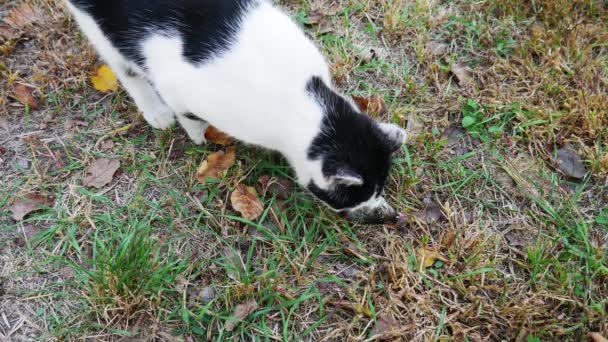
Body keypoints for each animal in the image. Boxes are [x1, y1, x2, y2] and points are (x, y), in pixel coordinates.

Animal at [65, 0, 404, 223]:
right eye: (354, 198)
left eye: (378, 192)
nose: (381, 213)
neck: (305, 97)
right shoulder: (180, 89)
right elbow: (189, 117)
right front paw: (198, 137)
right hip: (101, 31)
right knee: (126, 69)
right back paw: (156, 113)